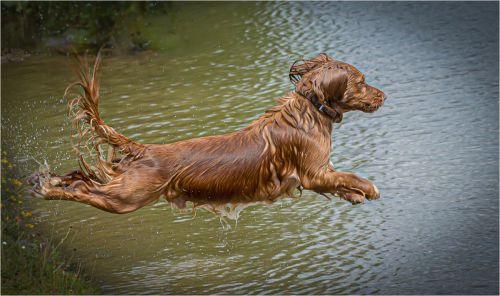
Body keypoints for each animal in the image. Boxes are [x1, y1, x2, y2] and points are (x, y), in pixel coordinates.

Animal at [30, 52, 386, 217]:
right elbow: (352, 176)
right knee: (85, 190)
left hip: (122, 186)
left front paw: (354, 195)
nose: (384, 95)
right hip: (126, 198)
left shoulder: (317, 175)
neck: (309, 108)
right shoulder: (312, 173)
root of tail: (144, 149)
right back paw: (47, 189)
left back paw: (48, 179)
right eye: (362, 82)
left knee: (81, 177)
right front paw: (369, 189)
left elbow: (341, 182)